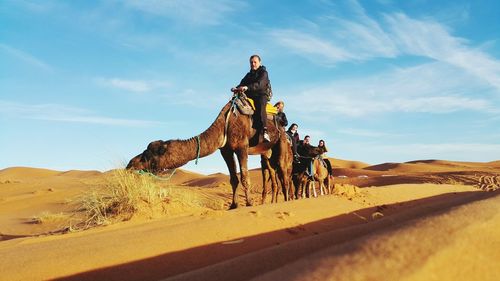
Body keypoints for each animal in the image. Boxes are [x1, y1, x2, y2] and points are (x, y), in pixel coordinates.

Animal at [127, 94, 292, 208]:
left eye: (148, 155)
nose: (130, 164)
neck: (224, 125)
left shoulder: (241, 147)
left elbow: (245, 177)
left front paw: (249, 203)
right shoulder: (225, 150)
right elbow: (233, 179)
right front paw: (233, 205)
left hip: (281, 143)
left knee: (284, 174)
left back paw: (288, 200)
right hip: (267, 153)